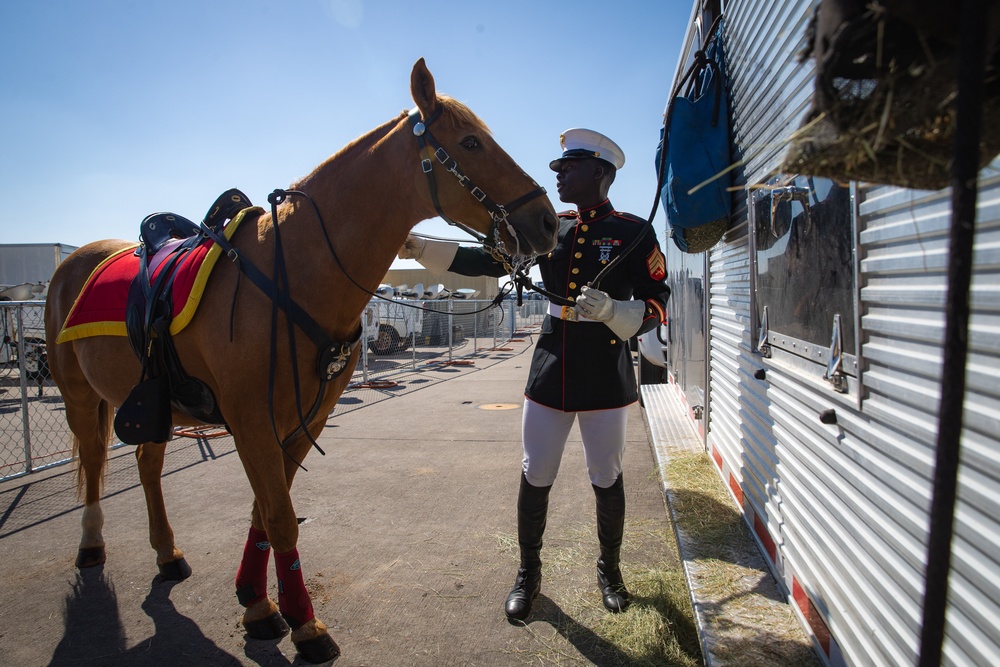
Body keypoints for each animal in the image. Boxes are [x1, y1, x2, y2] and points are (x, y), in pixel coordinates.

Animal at [47, 60, 560, 664]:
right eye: (471, 141)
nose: (548, 222)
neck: (291, 275)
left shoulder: (300, 419)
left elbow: (267, 513)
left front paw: (257, 601)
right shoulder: (251, 423)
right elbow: (282, 520)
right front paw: (304, 623)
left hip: (153, 406)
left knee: (149, 467)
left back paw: (167, 554)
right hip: (80, 396)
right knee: (95, 463)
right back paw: (91, 544)